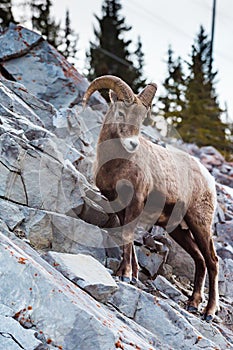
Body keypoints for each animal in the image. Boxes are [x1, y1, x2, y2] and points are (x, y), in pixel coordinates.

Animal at [83, 75, 219, 322]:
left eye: (141, 118)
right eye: (121, 113)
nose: (132, 144)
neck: (117, 165)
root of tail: (208, 179)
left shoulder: (136, 201)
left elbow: (128, 235)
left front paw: (125, 275)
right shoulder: (119, 206)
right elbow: (125, 236)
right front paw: (132, 275)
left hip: (200, 223)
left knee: (212, 261)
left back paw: (208, 312)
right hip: (179, 230)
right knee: (200, 260)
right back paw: (193, 304)